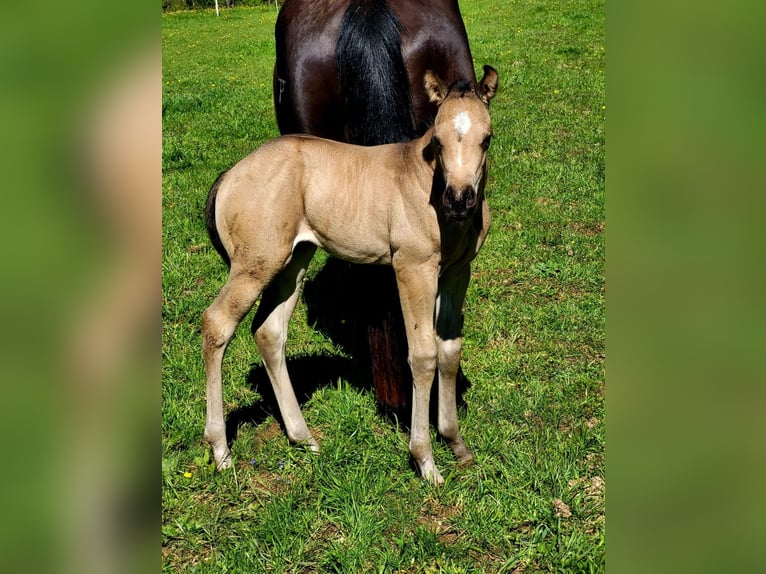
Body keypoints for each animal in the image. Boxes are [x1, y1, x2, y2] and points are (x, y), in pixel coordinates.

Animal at [202, 65, 498, 484]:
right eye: (437, 141)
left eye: (486, 139)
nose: (459, 199)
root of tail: (230, 174)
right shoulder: (413, 269)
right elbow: (423, 355)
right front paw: (425, 461)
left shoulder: (457, 273)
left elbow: (449, 350)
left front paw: (456, 445)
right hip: (255, 265)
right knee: (216, 324)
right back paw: (221, 450)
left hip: (295, 260)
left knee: (269, 331)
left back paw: (304, 438)